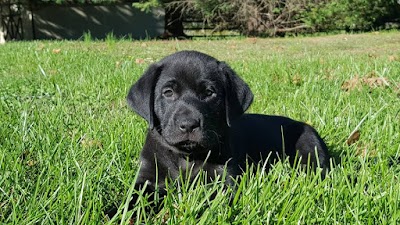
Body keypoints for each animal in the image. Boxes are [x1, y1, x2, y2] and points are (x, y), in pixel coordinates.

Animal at [105, 50, 328, 218]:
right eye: (168, 93)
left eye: (209, 93)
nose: (188, 124)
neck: (186, 157)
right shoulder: (148, 177)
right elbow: (133, 198)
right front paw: (115, 211)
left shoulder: (226, 179)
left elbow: (213, 199)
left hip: (310, 150)